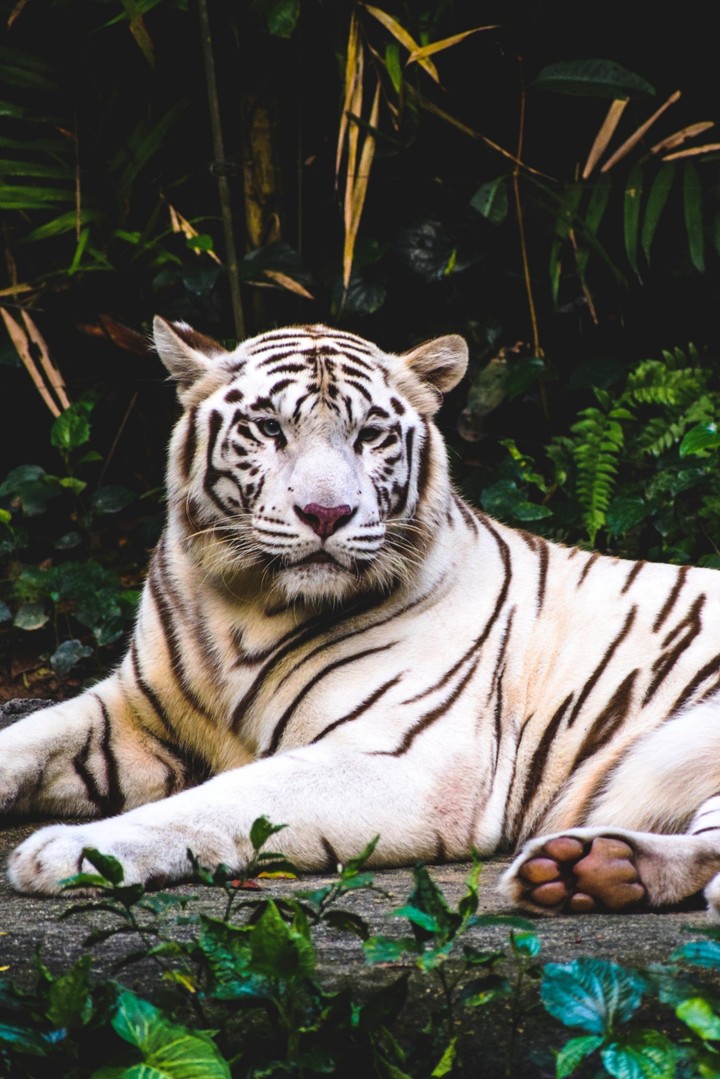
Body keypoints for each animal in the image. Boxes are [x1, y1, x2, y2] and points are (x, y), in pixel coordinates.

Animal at [4, 315, 720, 919]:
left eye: (369, 434)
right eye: (269, 428)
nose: (327, 513)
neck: (246, 604)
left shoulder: (408, 761)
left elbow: (222, 799)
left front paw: (70, 852)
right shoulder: (132, 711)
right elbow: (26, 737)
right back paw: (590, 871)